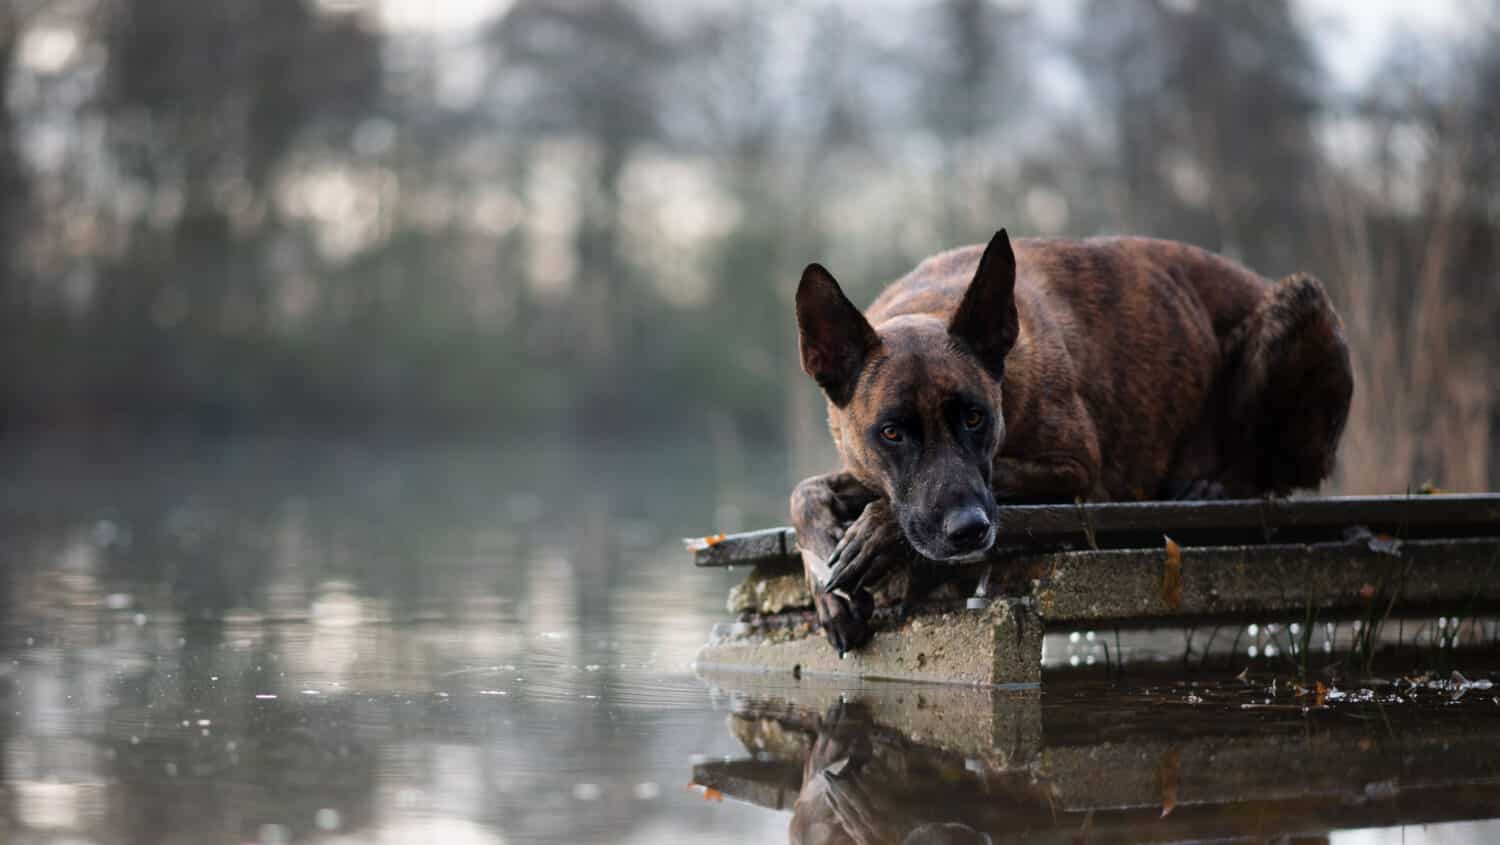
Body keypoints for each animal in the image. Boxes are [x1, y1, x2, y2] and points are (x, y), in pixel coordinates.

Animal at [798, 229, 1362, 654]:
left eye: (976, 418)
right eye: (891, 433)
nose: (969, 531)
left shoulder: (1074, 468)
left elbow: (984, 480)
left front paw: (878, 531)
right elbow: (804, 491)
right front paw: (827, 586)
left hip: (1298, 302)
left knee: (1276, 469)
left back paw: (1213, 486)